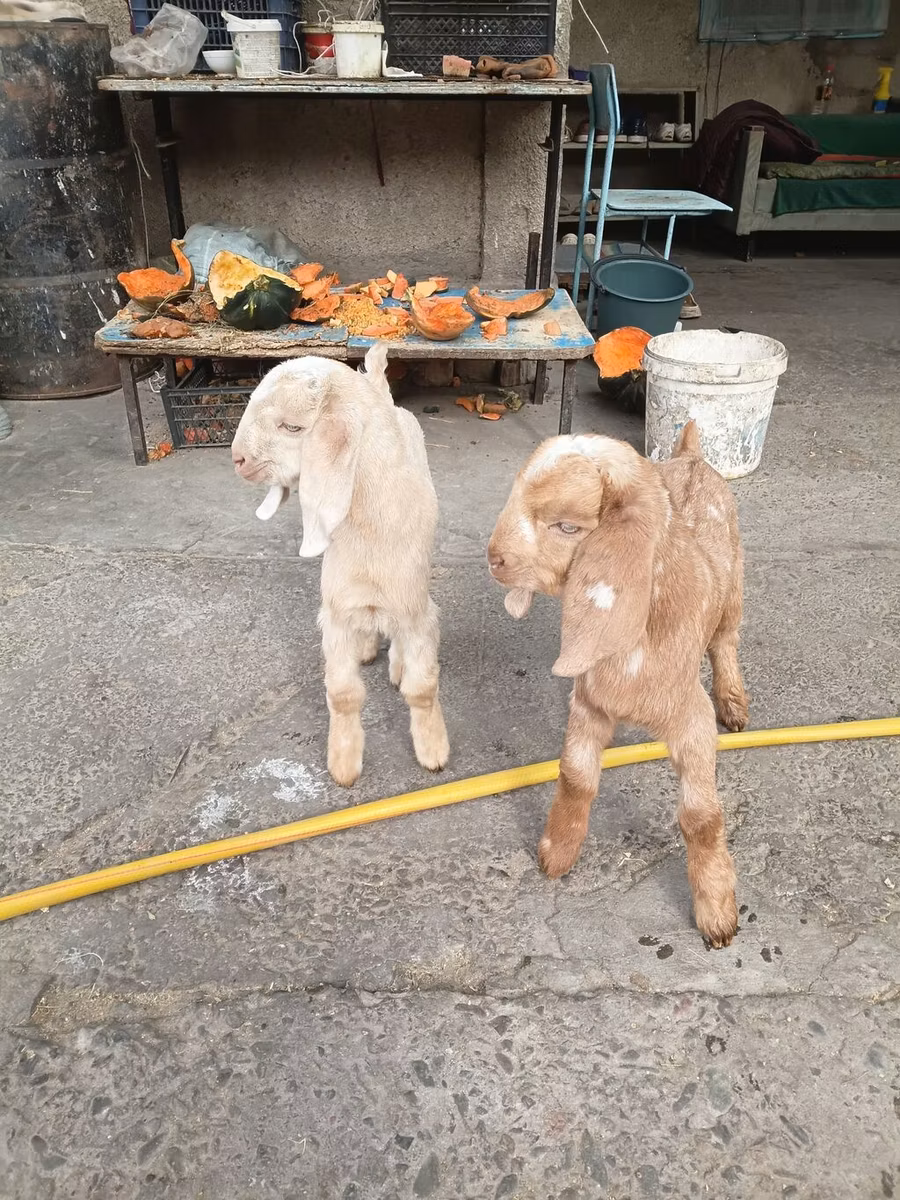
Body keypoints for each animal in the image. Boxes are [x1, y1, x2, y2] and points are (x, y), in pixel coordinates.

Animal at [231, 344, 449, 787]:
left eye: (292, 427)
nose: (237, 459)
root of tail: (384, 395)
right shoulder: (336, 614)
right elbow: (343, 694)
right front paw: (344, 764)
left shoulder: (416, 613)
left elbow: (422, 688)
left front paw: (433, 752)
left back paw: (396, 663)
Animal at [487, 423, 748, 946]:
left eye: (567, 526)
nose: (493, 558)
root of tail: (692, 455)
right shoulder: (588, 703)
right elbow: (575, 776)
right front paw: (557, 854)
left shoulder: (692, 720)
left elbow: (701, 817)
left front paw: (717, 914)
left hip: (734, 587)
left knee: (726, 640)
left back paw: (733, 702)